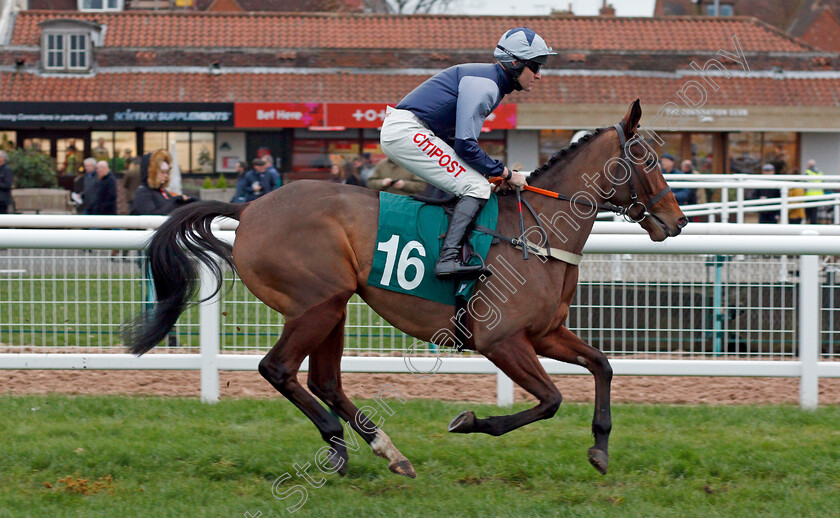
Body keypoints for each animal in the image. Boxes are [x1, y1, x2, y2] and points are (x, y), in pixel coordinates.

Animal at [126, 100, 688, 480]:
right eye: (648, 159)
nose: (676, 221)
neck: (537, 229)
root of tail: (250, 208)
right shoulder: (501, 341)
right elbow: (549, 399)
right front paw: (470, 422)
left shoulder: (545, 333)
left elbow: (603, 365)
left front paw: (600, 448)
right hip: (316, 304)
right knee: (278, 369)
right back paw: (338, 441)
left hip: (336, 307)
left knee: (325, 380)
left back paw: (387, 451)